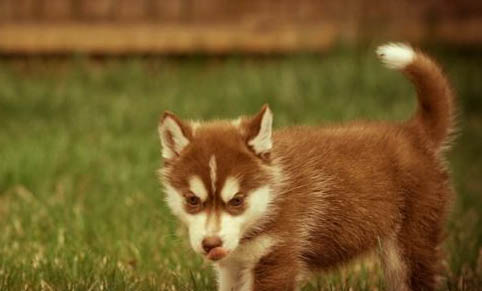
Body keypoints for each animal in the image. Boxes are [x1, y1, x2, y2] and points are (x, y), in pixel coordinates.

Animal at [158, 43, 456, 291]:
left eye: (237, 200)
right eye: (192, 200)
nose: (211, 244)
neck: (271, 199)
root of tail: (413, 132)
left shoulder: (277, 256)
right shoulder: (234, 266)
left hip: (410, 242)